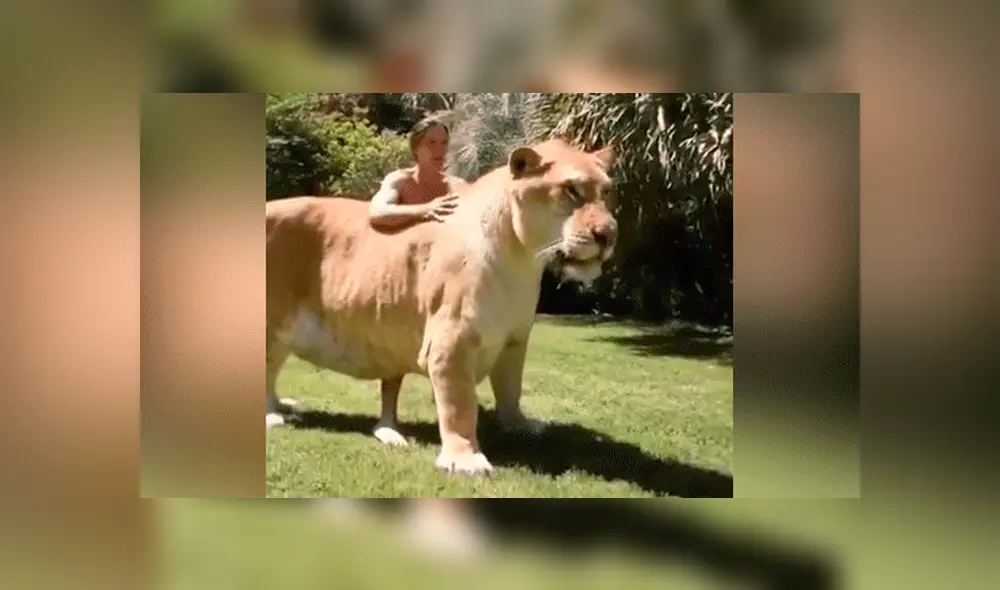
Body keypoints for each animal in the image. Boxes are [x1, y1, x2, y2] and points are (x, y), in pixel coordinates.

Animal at [266, 138, 618, 475]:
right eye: (571, 189)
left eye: (606, 192)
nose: (608, 235)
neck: (523, 259)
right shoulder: (452, 343)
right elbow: (459, 406)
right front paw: (466, 461)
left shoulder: (514, 340)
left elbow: (511, 388)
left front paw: (520, 424)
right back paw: (272, 416)